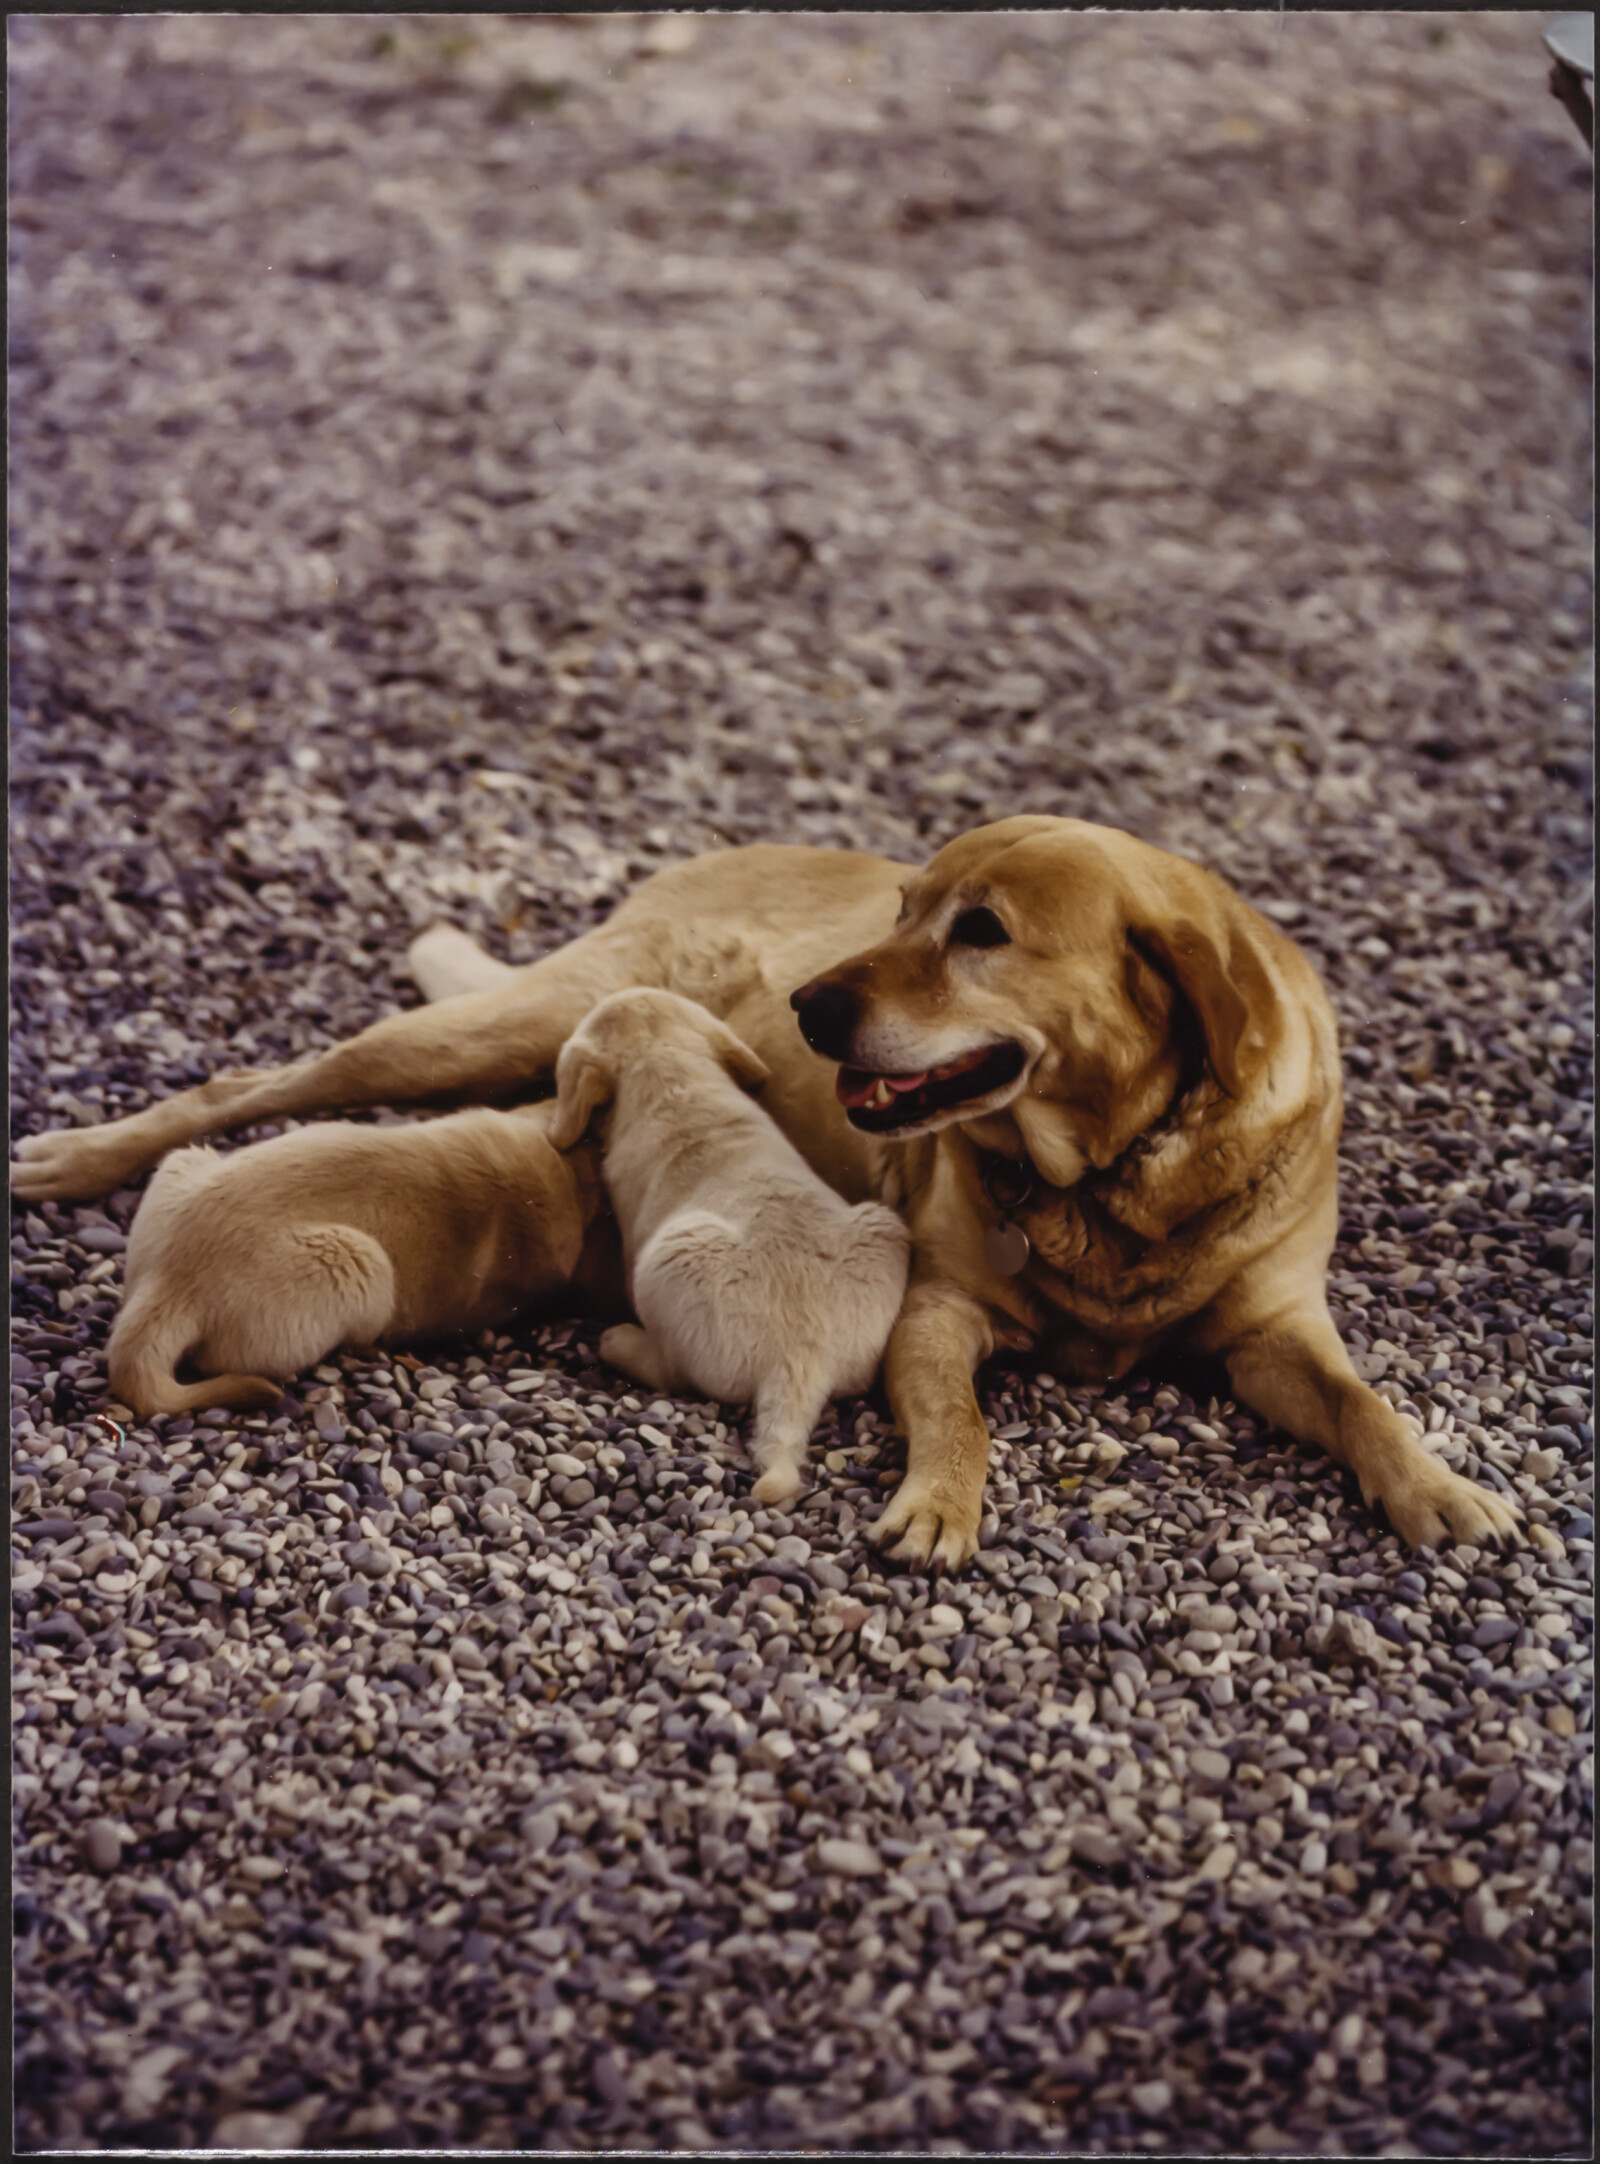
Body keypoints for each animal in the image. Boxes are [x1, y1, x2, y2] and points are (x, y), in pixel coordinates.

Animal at [549, 986, 909, 1506]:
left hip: (666, 1265)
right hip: (883, 1226)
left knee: (672, 1371)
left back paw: (619, 1341)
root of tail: (801, 1358)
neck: (673, 1073)